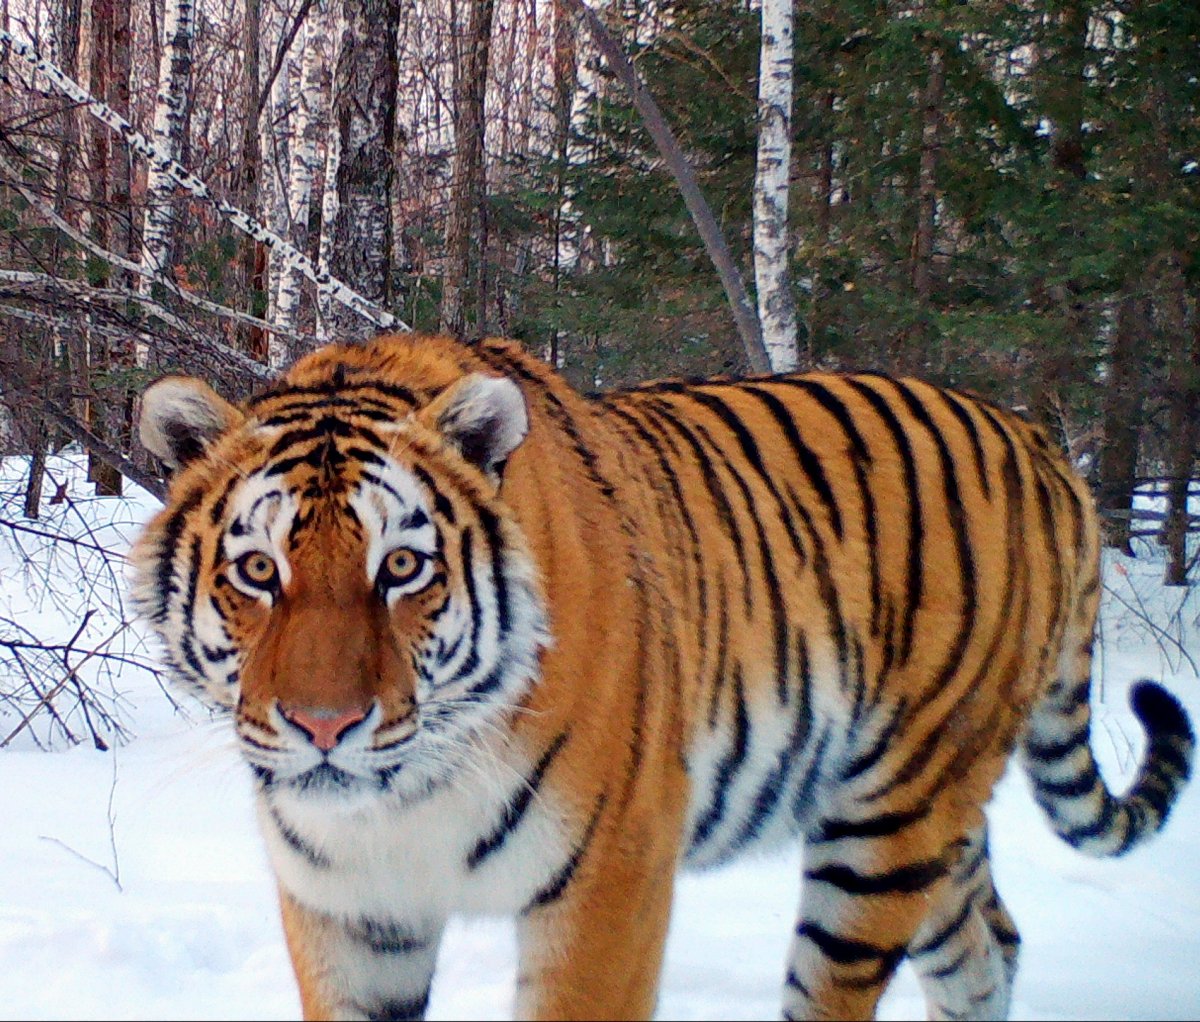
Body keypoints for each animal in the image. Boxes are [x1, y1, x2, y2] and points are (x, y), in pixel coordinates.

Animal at [130, 331, 1193, 1021]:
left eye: (400, 568)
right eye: (258, 571)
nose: (325, 726)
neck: (407, 797)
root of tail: (1038, 443)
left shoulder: (608, 880)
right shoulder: (348, 911)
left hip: (889, 825)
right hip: (933, 823)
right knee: (986, 948)